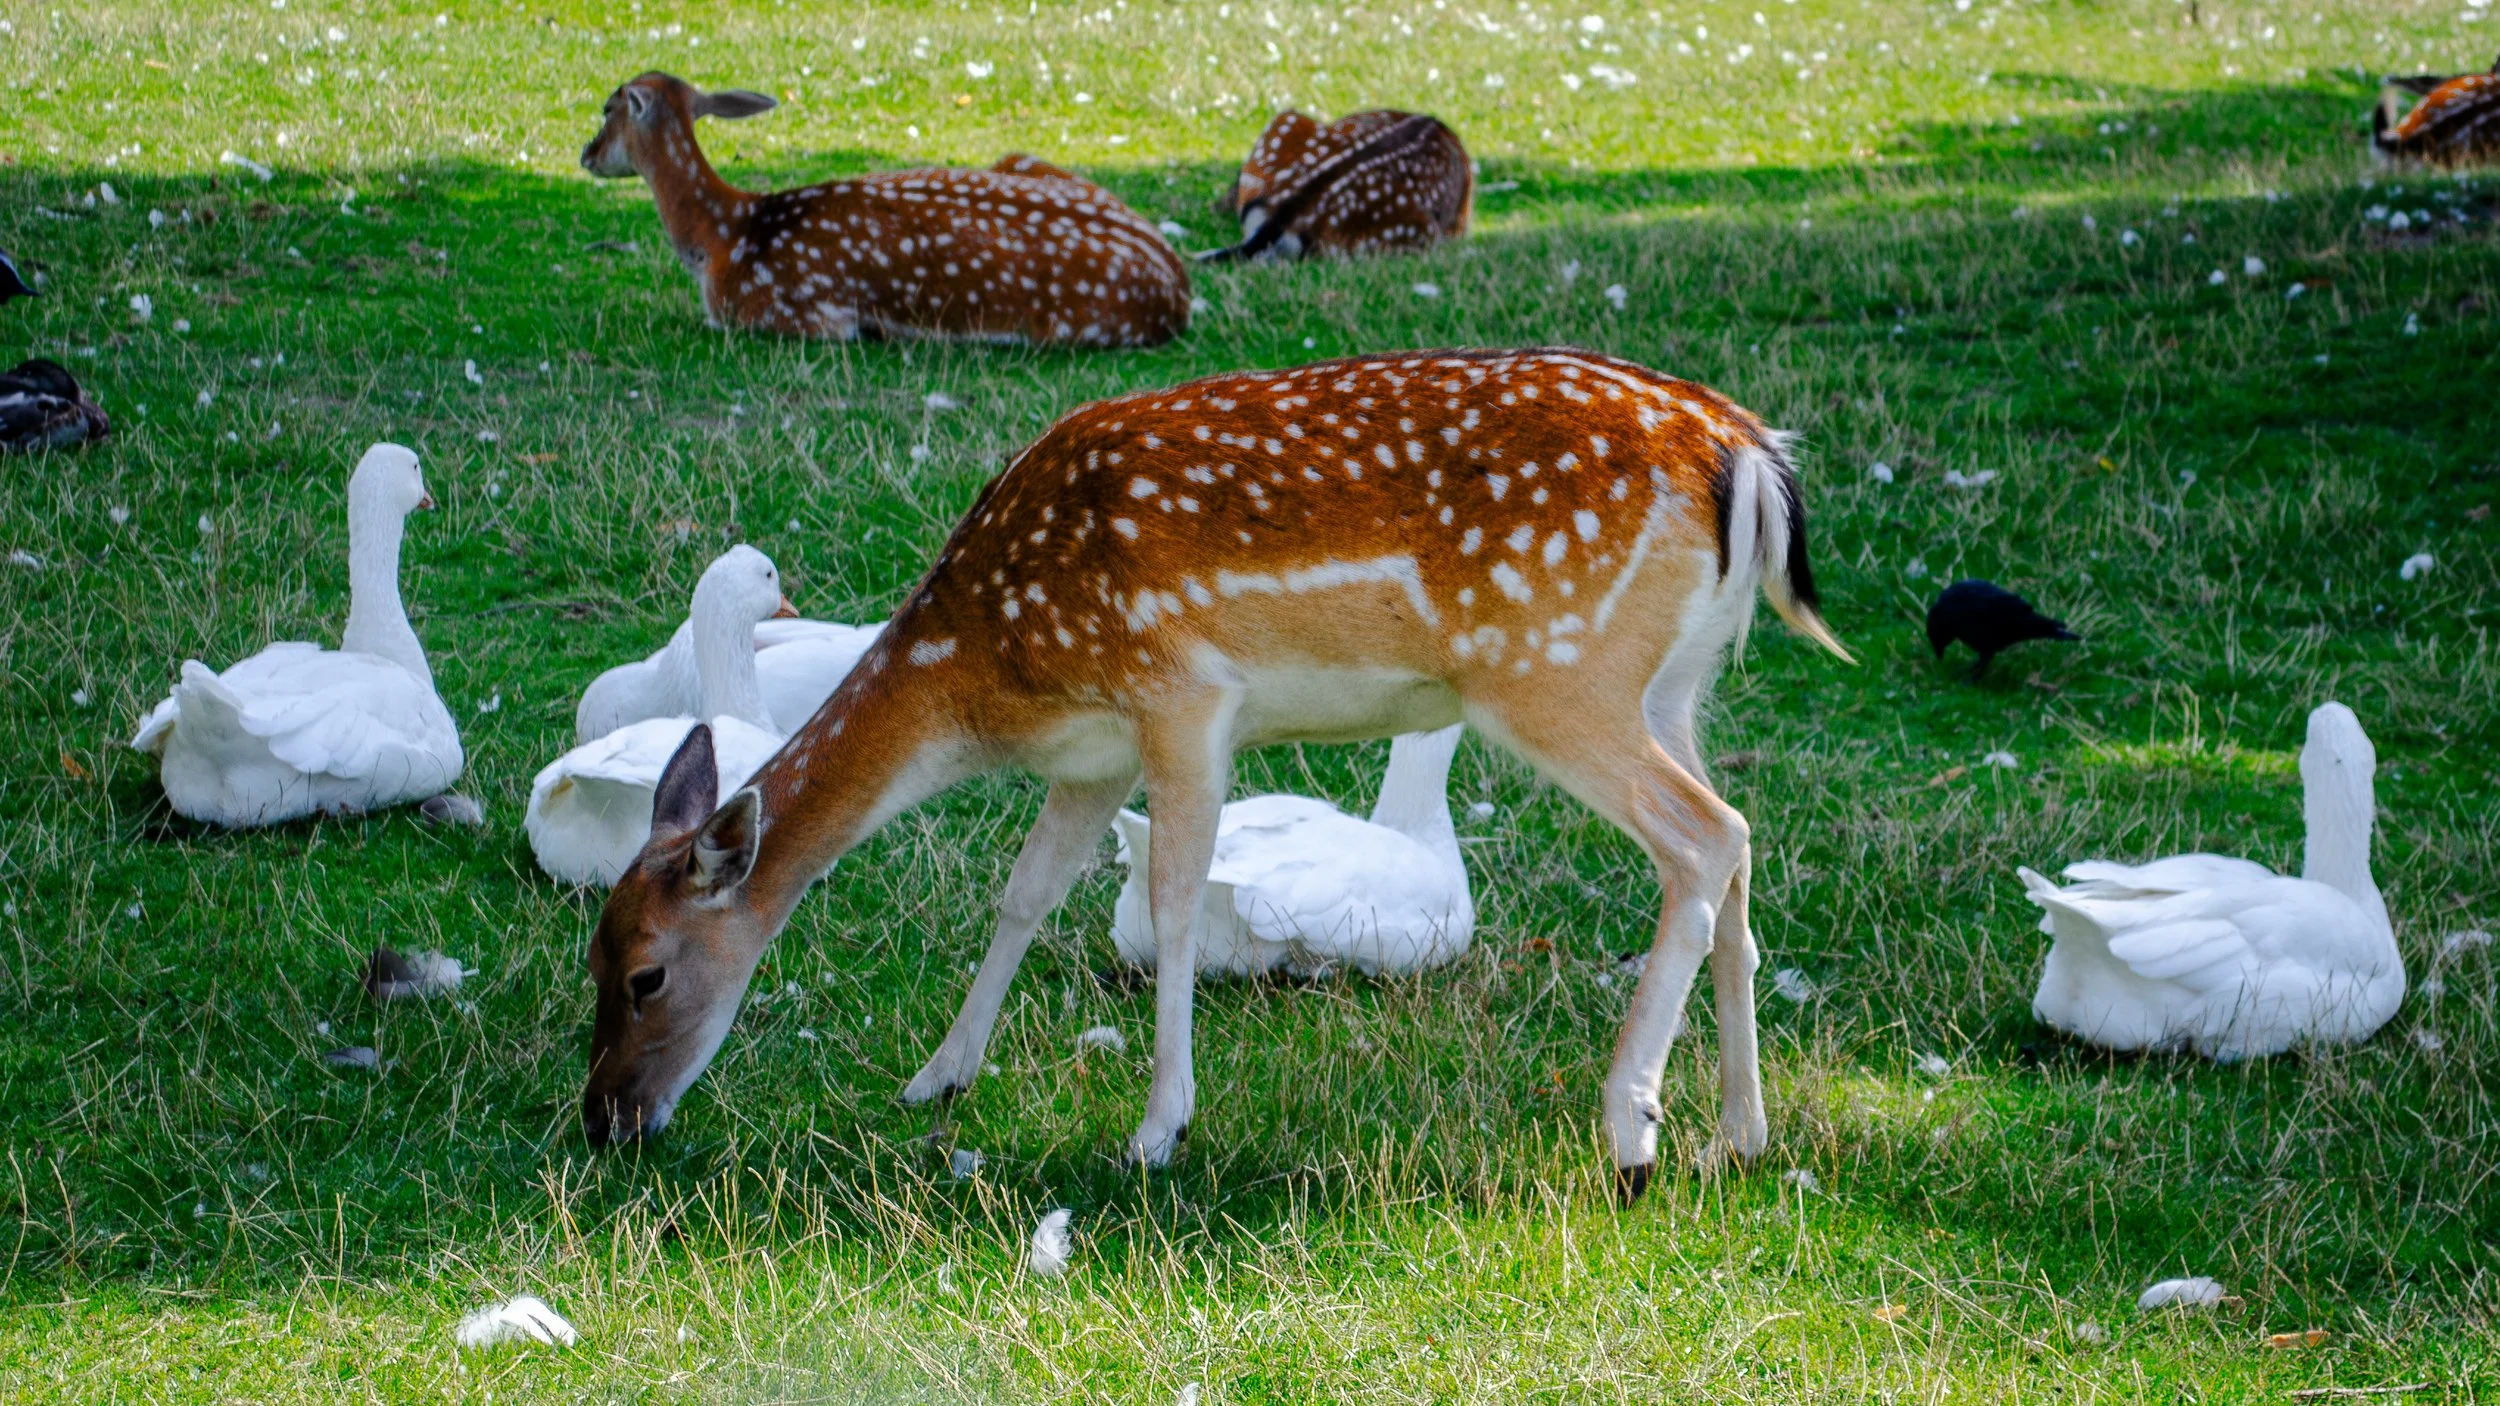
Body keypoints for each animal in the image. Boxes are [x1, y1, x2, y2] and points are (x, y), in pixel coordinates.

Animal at [579, 347, 1850, 1201]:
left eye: (645, 973)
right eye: (592, 955)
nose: (606, 1116)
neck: (990, 670)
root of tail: (1744, 456)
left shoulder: (1180, 693)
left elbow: (1178, 900)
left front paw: (1157, 1129)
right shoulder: (1089, 751)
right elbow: (1025, 891)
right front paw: (938, 1075)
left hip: (1552, 668)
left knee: (1704, 834)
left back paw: (1630, 1136)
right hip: (1671, 682)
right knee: (1738, 850)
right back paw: (1737, 1133)